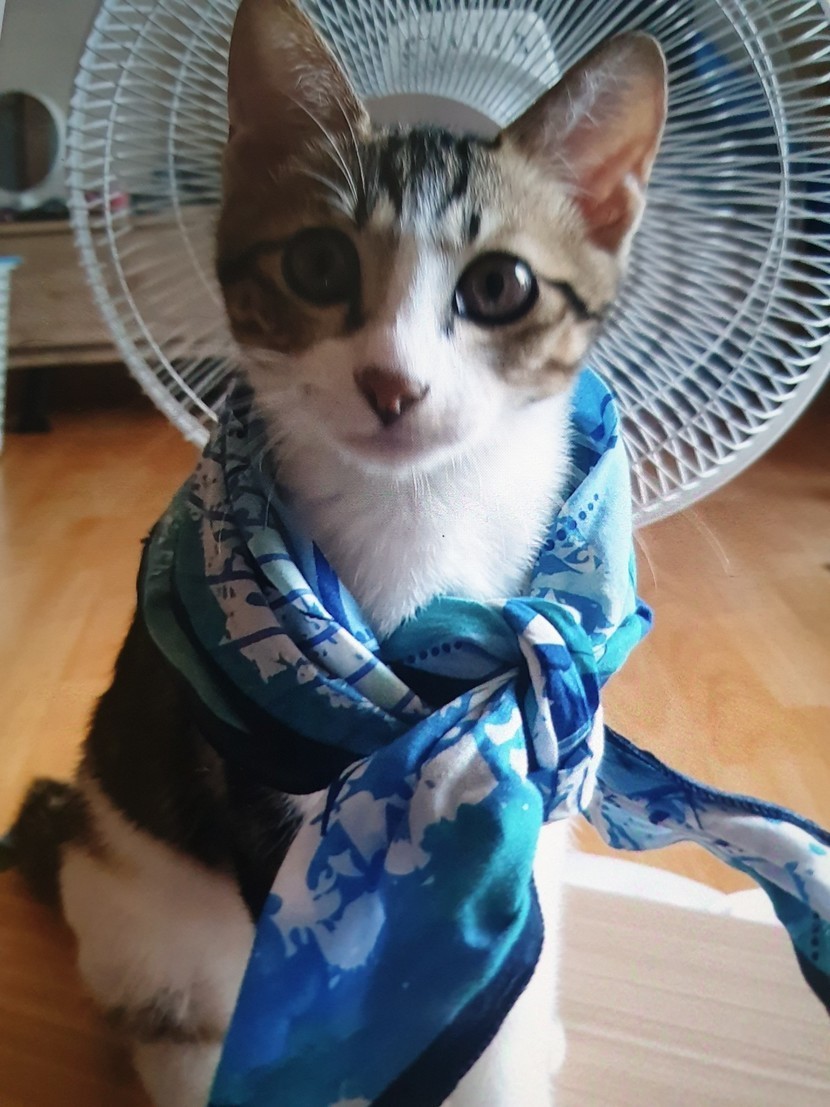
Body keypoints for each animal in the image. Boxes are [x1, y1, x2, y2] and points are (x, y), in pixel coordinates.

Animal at [9, 2, 666, 1105]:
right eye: (317, 264)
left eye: (500, 285)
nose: (392, 383)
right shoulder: (261, 816)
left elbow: (495, 987)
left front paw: (509, 1057)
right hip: (132, 899)